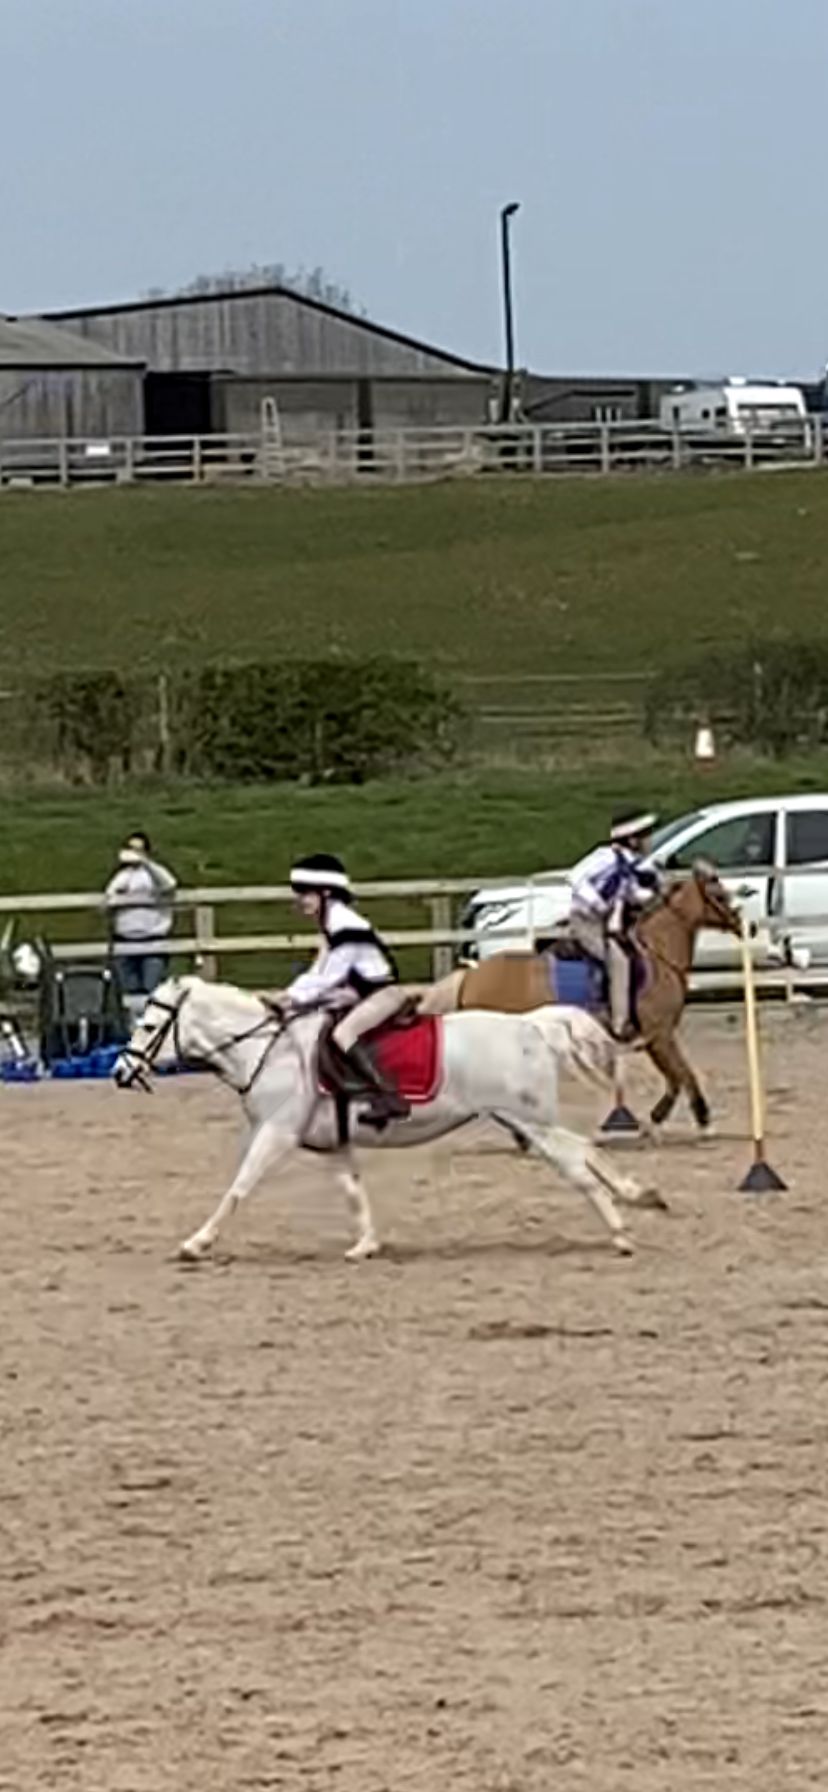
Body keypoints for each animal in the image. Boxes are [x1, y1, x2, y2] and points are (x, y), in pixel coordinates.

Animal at [113, 977, 663, 1264]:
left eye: (148, 1023)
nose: (119, 1071)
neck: (266, 1049)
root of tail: (529, 1024)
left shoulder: (275, 1134)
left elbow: (238, 1188)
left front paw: (197, 1242)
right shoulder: (331, 1144)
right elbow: (353, 1193)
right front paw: (365, 1245)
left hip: (528, 1122)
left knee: (576, 1165)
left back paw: (621, 1232)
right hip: (531, 1120)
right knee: (586, 1149)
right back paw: (640, 1196)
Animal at [427, 864, 741, 1132]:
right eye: (718, 894)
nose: (742, 924)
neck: (657, 954)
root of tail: (471, 976)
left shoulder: (656, 1038)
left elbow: (676, 1076)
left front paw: (659, 1116)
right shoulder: (660, 1035)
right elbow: (683, 1073)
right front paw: (700, 1117)